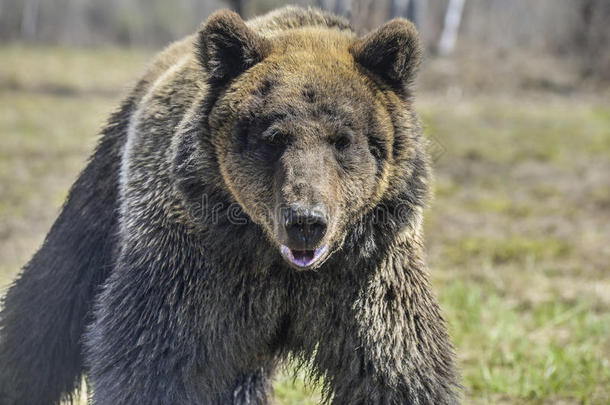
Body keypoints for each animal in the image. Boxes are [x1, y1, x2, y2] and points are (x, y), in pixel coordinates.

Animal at [0, 6, 456, 404]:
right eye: (274, 137)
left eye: (342, 139)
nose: (305, 221)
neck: (278, 264)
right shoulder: (196, 264)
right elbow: (151, 357)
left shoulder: (366, 275)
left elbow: (398, 368)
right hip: (109, 187)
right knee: (52, 297)